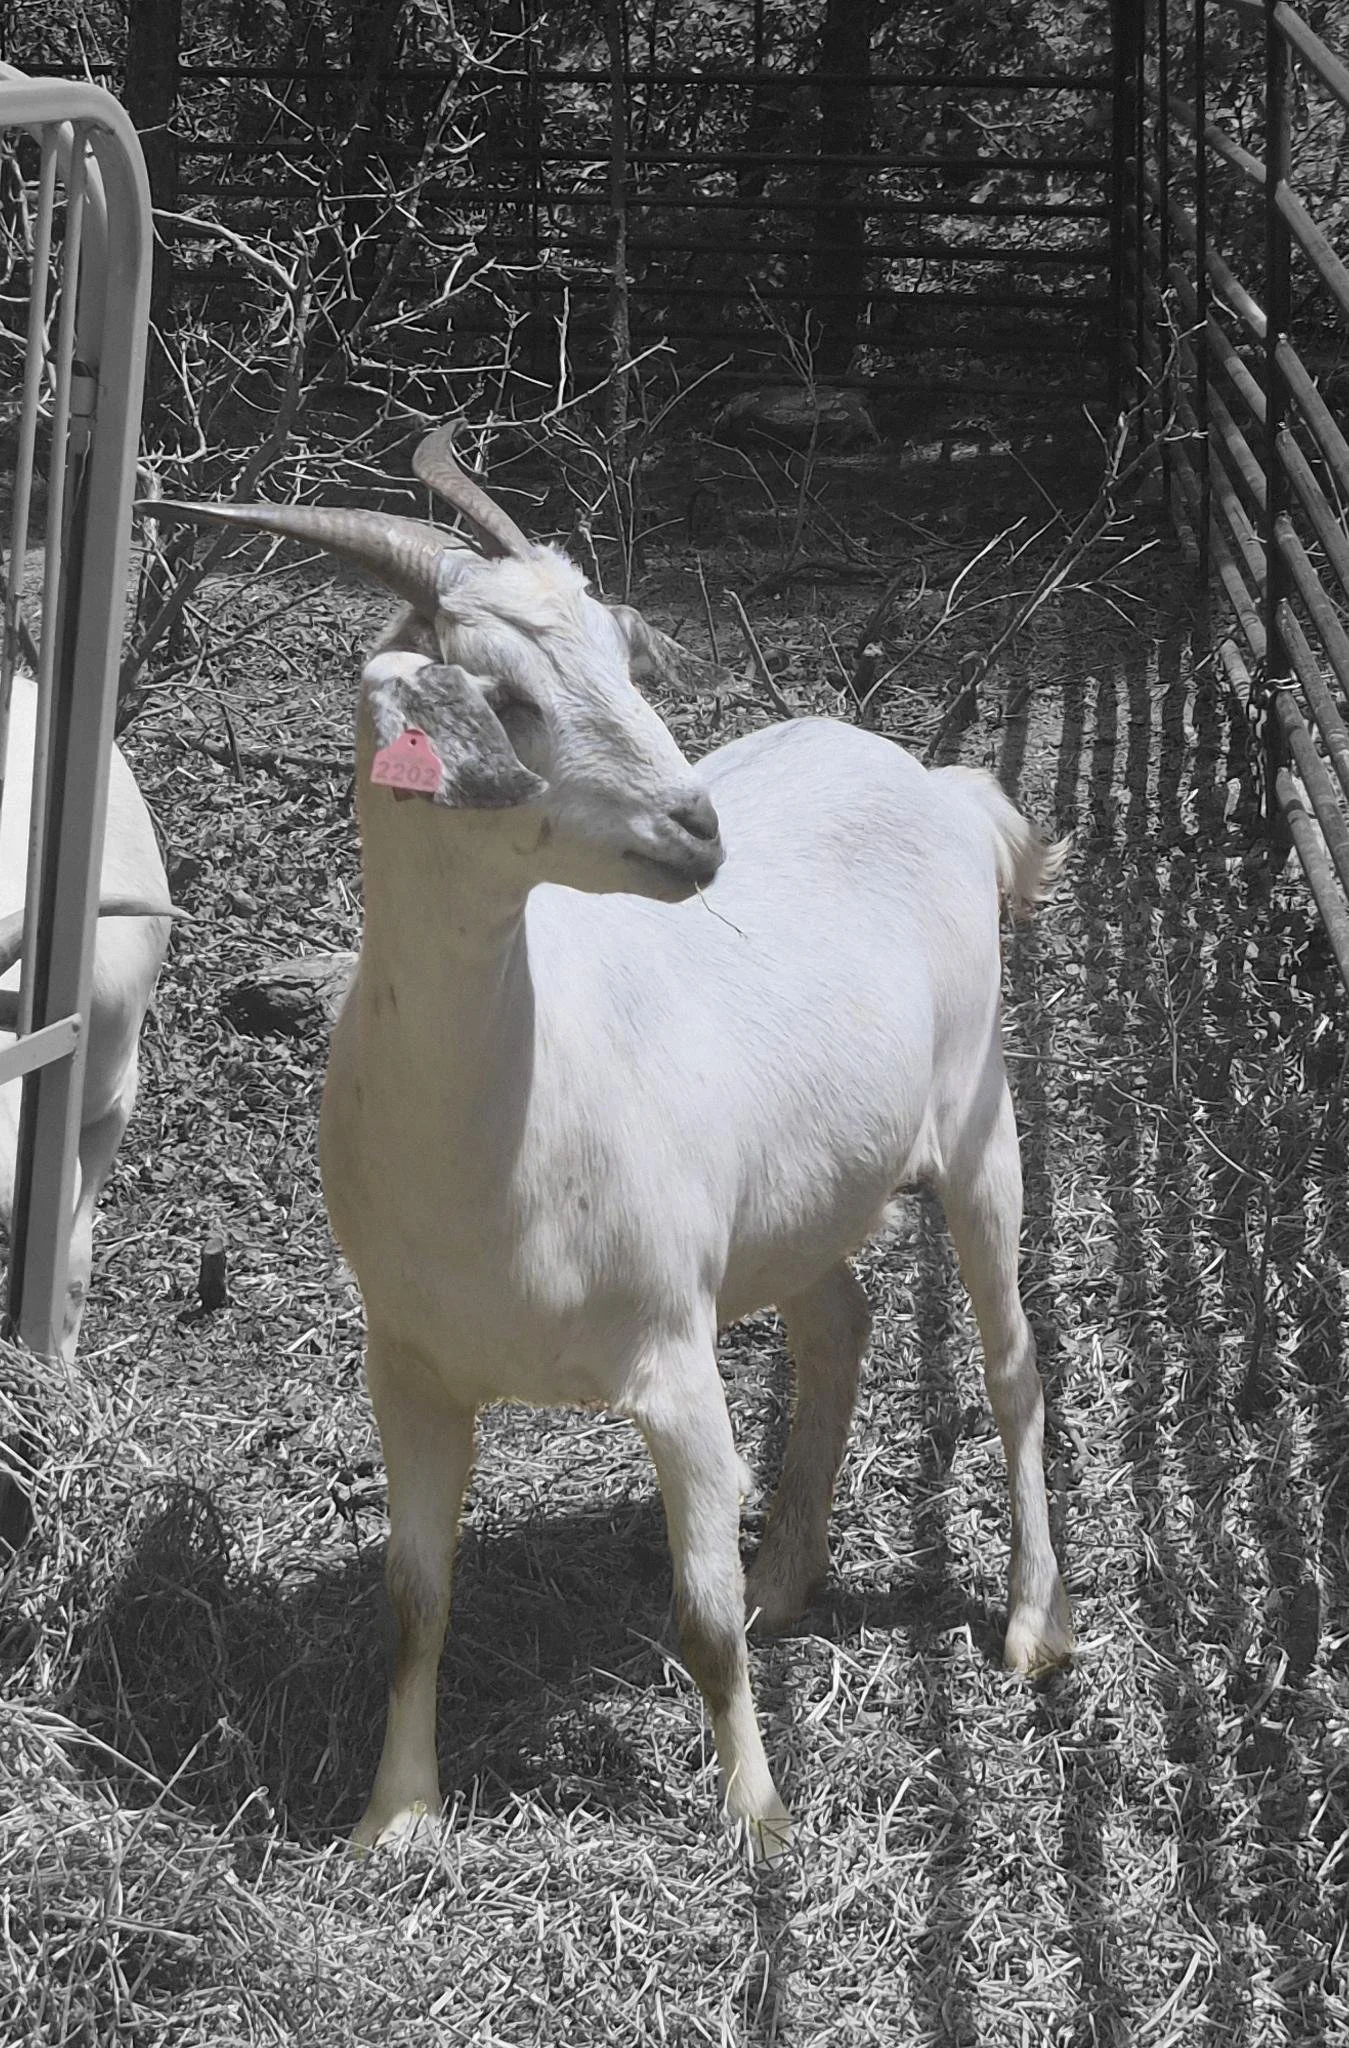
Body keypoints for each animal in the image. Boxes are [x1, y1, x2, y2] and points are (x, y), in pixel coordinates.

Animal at [147, 431, 1074, 1857]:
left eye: (622, 653)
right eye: (503, 695)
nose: (697, 828)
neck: (501, 1147)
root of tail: (942, 785)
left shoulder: (673, 1359)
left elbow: (697, 1619)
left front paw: (757, 1819)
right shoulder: (407, 1371)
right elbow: (414, 1600)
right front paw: (393, 1816)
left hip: (979, 1122)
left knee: (1014, 1364)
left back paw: (1027, 1621)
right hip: (793, 1198)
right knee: (837, 1322)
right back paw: (787, 1572)